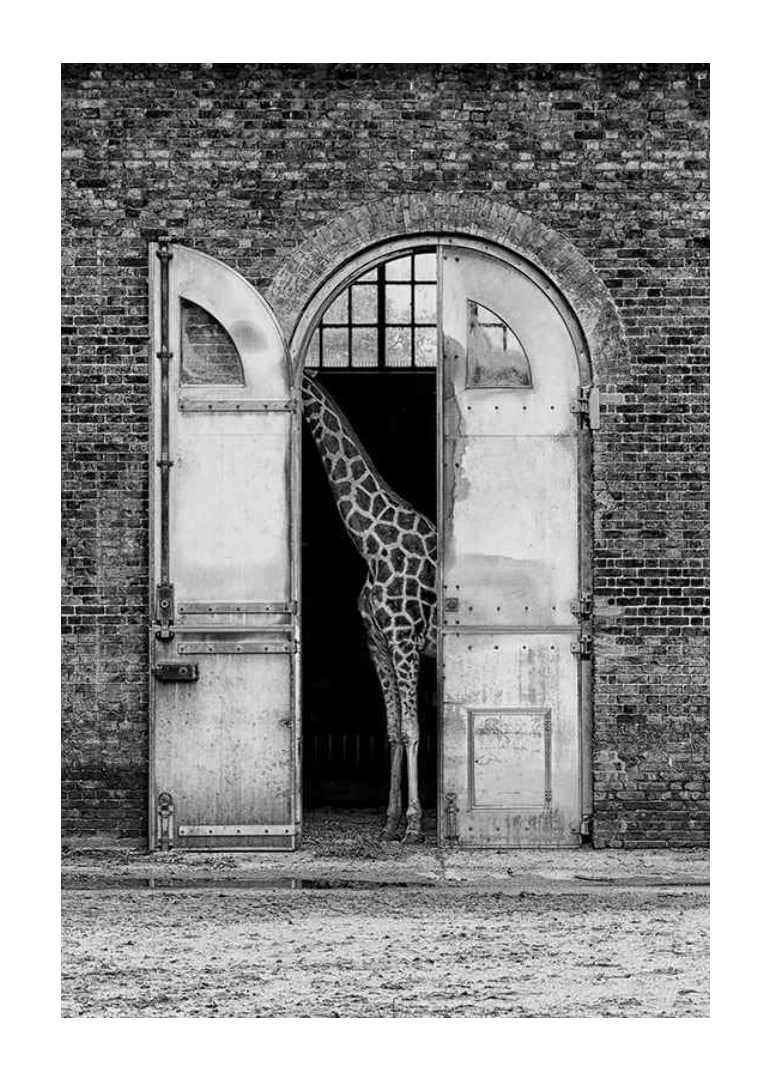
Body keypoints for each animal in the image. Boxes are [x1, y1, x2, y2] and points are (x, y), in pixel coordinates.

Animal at [301, 372, 437, 843]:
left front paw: (413, 825)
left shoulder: (404, 639)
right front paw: (390, 821)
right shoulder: (377, 642)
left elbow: (413, 729)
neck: (372, 544)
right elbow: (393, 731)